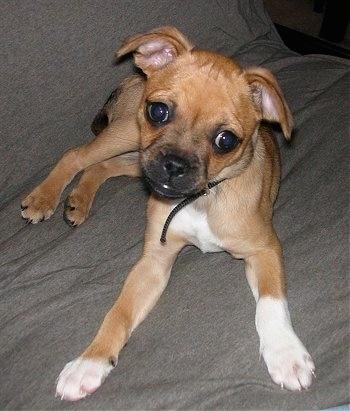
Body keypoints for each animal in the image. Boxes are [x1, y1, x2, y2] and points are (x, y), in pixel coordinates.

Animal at [20, 26, 316, 402]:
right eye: (158, 111)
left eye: (226, 140)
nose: (173, 166)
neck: (201, 198)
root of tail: (134, 78)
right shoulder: (154, 262)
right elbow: (119, 312)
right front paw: (90, 362)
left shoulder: (264, 249)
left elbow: (271, 304)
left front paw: (286, 353)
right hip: (128, 138)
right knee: (76, 155)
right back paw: (43, 198)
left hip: (137, 159)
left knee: (102, 166)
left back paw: (77, 202)